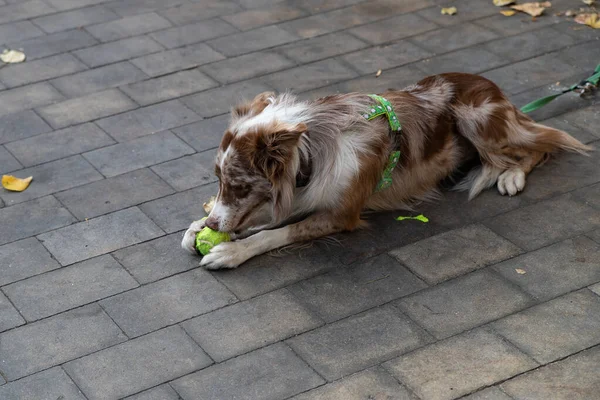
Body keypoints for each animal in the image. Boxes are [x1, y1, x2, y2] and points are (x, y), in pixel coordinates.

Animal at [179, 73, 592, 270]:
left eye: (238, 185)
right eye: (219, 180)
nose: (213, 226)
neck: (310, 156)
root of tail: (500, 92)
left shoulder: (341, 214)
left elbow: (273, 233)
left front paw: (231, 251)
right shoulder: (301, 191)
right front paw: (198, 227)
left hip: (475, 117)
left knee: (541, 144)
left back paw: (511, 175)